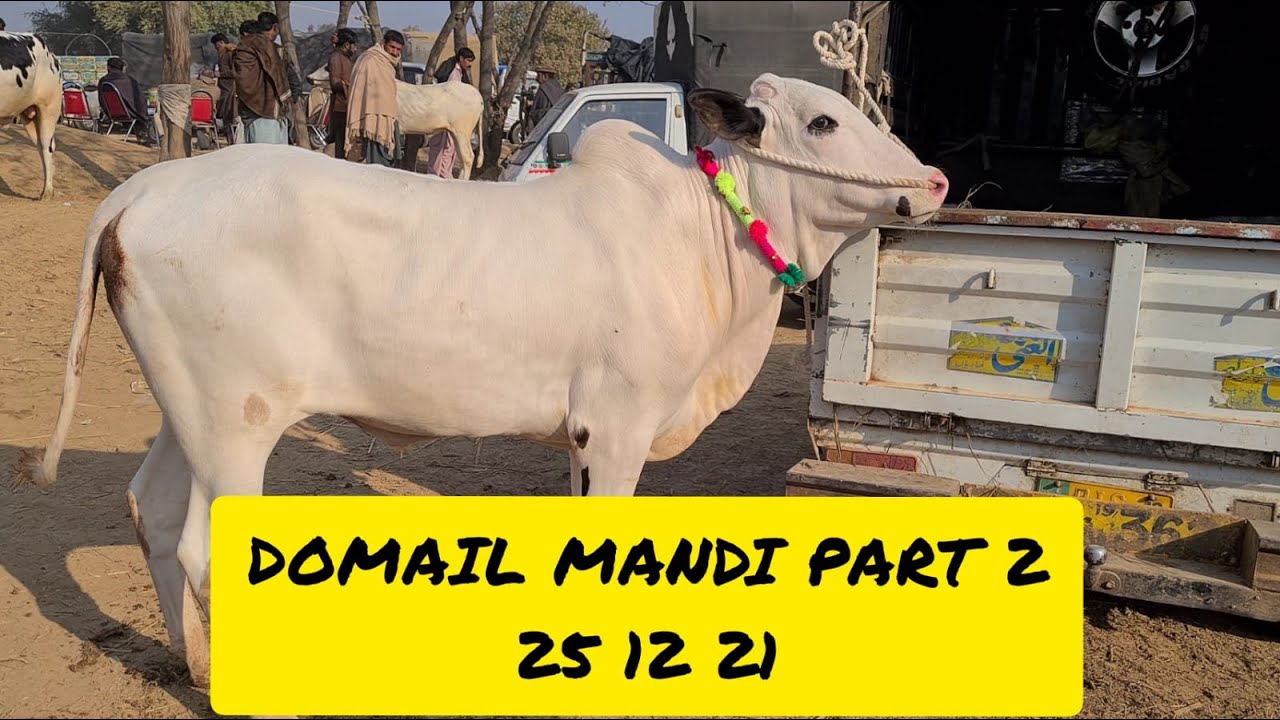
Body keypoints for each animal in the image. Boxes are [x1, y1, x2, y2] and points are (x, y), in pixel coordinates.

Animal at [13, 72, 949, 689]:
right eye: (824, 121)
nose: (935, 181)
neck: (703, 237)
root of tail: (139, 192)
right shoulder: (618, 427)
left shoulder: (581, 437)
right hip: (237, 427)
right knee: (204, 550)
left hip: (194, 414)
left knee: (156, 512)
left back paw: (198, 667)